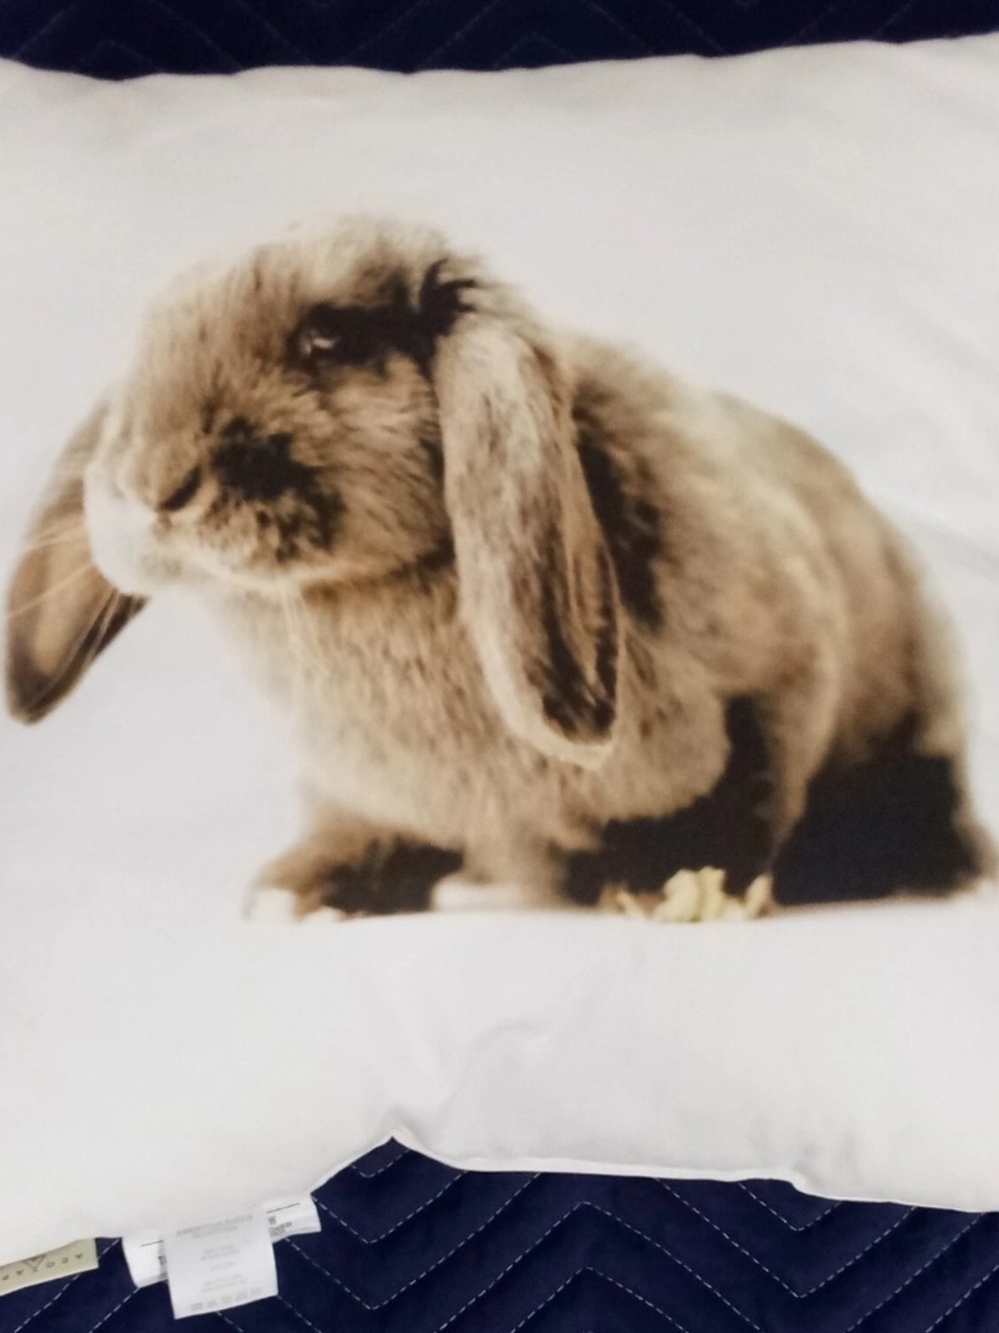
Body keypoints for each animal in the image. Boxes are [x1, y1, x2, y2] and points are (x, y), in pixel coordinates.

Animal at [5, 217, 994, 921]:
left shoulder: (775, 683)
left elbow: (741, 797)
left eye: (329, 336)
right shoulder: (356, 790)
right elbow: (358, 832)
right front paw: (291, 895)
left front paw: (683, 890)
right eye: (145, 344)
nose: (150, 485)